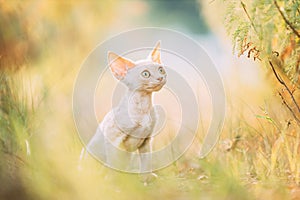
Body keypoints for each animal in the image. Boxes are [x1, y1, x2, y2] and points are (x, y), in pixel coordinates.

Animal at [86, 41, 166, 176]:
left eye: (161, 70)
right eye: (145, 74)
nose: (160, 78)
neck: (143, 106)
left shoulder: (146, 140)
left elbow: (146, 162)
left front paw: (146, 178)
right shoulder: (113, 137)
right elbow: (114, 165)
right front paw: (117, 180)